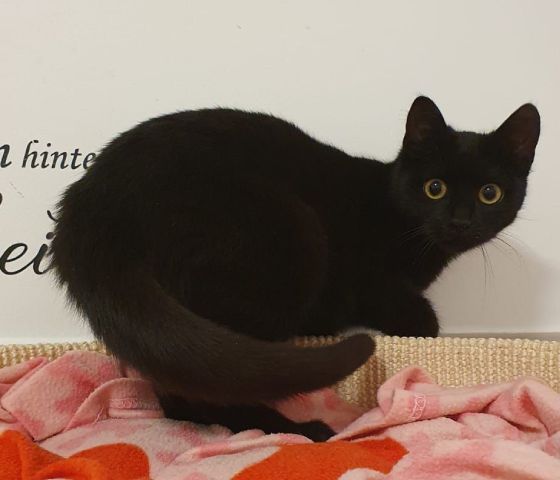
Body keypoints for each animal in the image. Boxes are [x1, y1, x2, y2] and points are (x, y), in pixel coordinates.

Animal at [50, 96, 540, 440]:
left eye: (490, 193)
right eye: (434, 188)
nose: (460, 221)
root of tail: (92, 204)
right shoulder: (371, 283)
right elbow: (422, 320)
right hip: (294, 232)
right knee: (198, 387)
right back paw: (300, 430)